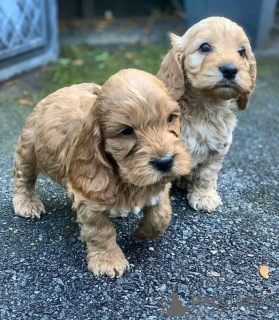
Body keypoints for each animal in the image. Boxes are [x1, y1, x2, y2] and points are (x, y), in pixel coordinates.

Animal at [13, 69, 192, 278]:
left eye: (171, 118)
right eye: (126, 131)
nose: (165, 162)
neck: (125, 177)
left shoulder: (158, 186)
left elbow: (161, 215)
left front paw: (142, 233)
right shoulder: (88, 197)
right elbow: (101, 231)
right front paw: (108, 260)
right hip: (28, 149)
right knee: (22, 177)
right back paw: (27, 203)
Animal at [159, 16, 258, 212]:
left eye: (242, 52)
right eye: (204, 47)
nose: (230, 69)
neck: (203, 107)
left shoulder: (218, 149)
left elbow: (207, 175)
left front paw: (204, 196)